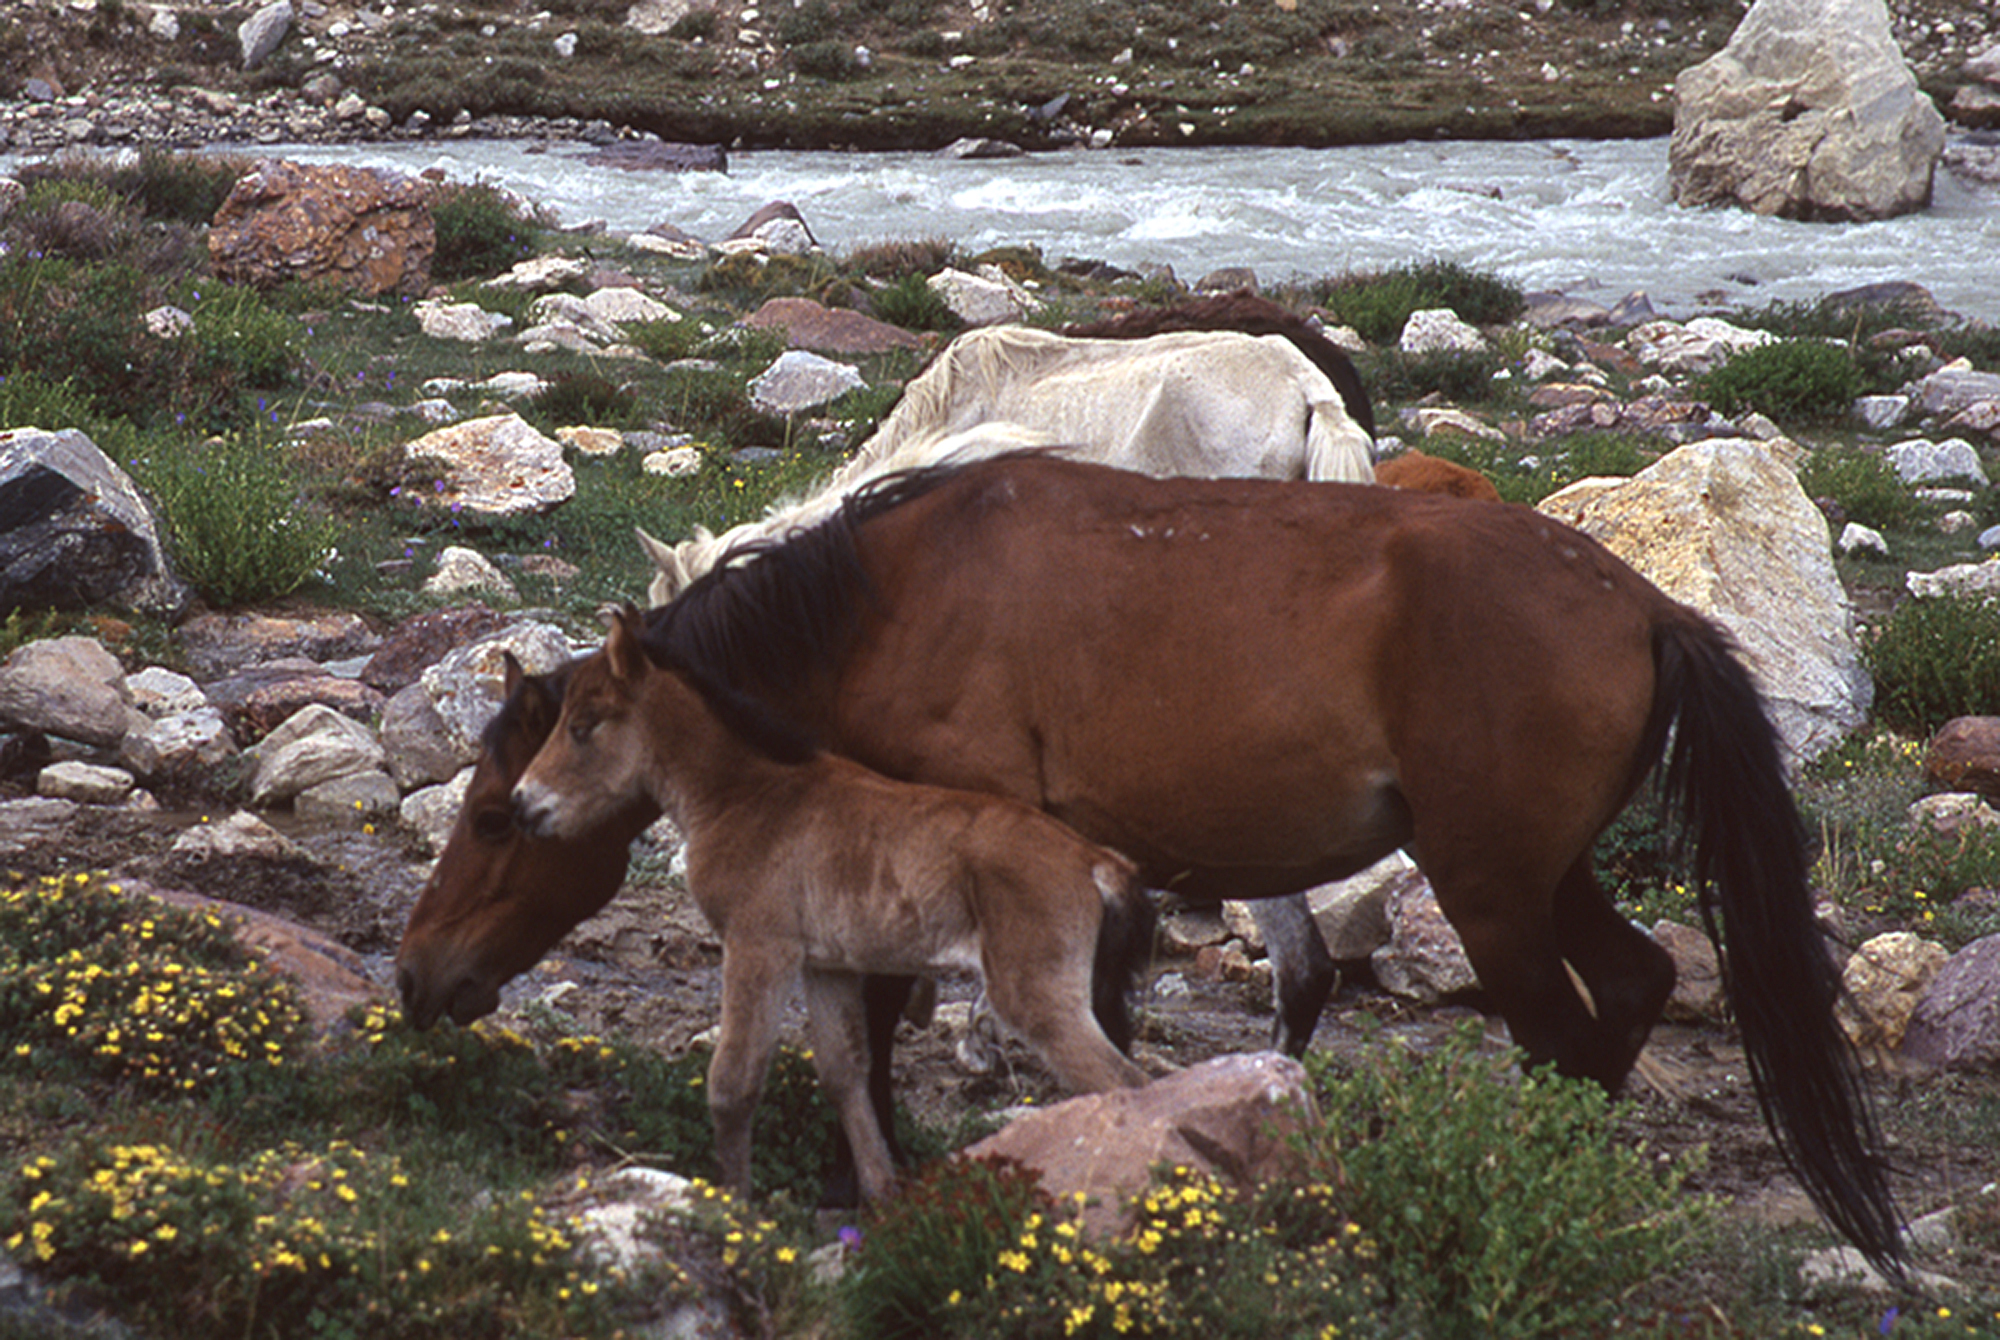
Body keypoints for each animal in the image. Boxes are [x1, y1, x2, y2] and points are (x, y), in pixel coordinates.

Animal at [508, 608, 1152, 1208]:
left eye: (583, 727)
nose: (522, 804)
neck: (747, 797)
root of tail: (1096, 860)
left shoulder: (758, 945)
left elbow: (733, 1082)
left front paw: (735, 1208)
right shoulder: (827, 966)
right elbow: (845, 1074)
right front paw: (881, 1200)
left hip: (1036, 997)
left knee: (1124, 1084)